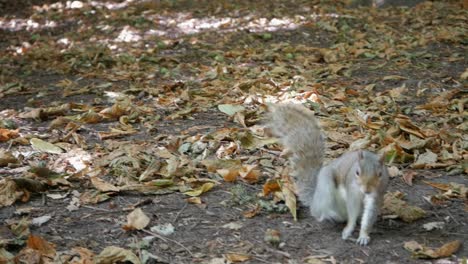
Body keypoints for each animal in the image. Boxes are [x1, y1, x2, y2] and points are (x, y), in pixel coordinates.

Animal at [268, 103, 390, 245]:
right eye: (357, 172)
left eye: (380, 174)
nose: (367, 190)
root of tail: (314, 198)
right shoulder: (352, 190)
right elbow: (352, 211)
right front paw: (348, 229)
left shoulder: (377, 194)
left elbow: (369, 214)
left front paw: (364, 235)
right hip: (325, 189)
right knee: (318, 212)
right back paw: (329, 215)